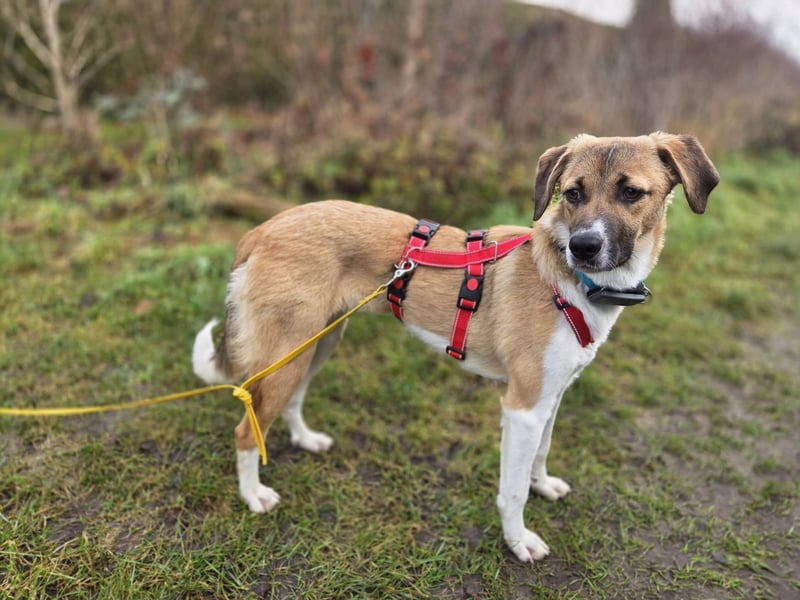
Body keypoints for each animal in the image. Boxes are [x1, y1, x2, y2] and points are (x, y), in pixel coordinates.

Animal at [192, 132, 719, 562]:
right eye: (574, 193)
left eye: (631, 192)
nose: (584, 247)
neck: (572, 282)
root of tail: (263, 228)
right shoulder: (522, 407)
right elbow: (512, 491)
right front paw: (518, 541)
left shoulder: (552, 397)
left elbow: (543, 453)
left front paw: (543, 484)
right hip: (290, 352)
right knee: (246, 429)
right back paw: (253, 495)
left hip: (316, 344)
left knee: (291, 401)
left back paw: (305, 439)